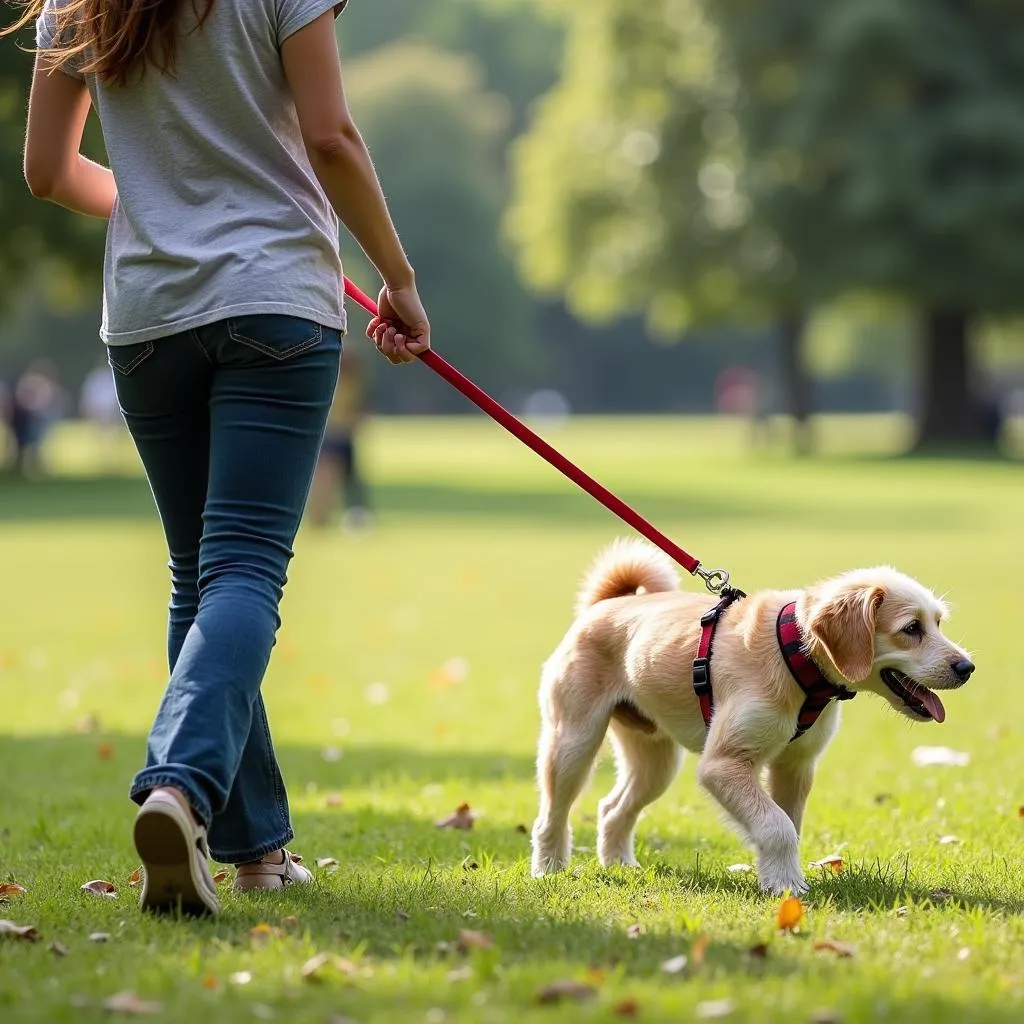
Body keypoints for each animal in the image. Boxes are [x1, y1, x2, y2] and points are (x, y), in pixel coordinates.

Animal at [532, 540, 970, 892]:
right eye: (911, 628)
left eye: (938, 623)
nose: (967, 668)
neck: (794, 652)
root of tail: (605, 604)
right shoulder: (724, 764)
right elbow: (777, 827)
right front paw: (788, 886)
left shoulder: (795, 766)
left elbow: (787, 824)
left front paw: (777, 877)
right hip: (573, 742)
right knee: (552, 814)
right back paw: (548, 870)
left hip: (655, 761)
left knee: (611, 809)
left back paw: (620, 865)